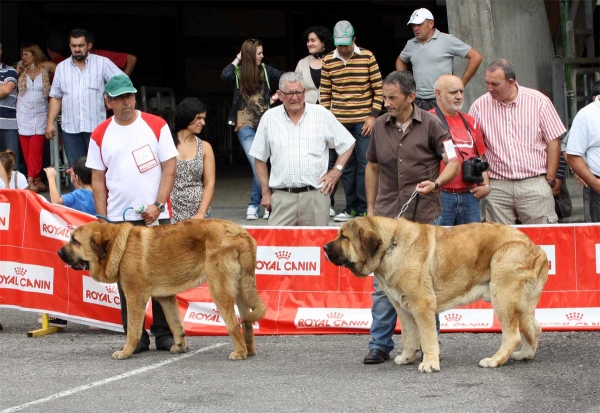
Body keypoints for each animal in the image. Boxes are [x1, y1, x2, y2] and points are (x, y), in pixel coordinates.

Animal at [58, 220, 264, 358]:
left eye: (75, 241)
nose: (59, 252)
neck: (119, 245)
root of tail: (240, 234)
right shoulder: (166, 298)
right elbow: (176, 324)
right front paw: (180, 346)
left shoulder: (135, 297)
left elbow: (133, 329)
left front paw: (126, 352)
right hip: (241, 290)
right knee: (246, 323)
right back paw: (250, 350)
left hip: (219, 290)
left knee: (233, 323)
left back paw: (240, 352)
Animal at [324, 217, 548, 372]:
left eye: (344, 237)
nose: (325, 247)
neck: (390, 247)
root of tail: (536, 248)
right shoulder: (403, 308)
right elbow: (410, 337)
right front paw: (407, 357)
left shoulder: (422, 305)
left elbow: (427, 337)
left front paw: (429, 363)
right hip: (522, 304)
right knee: (533, 327)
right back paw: (524, 354)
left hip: (503, 296)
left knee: (513, 335)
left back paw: (494, 360)